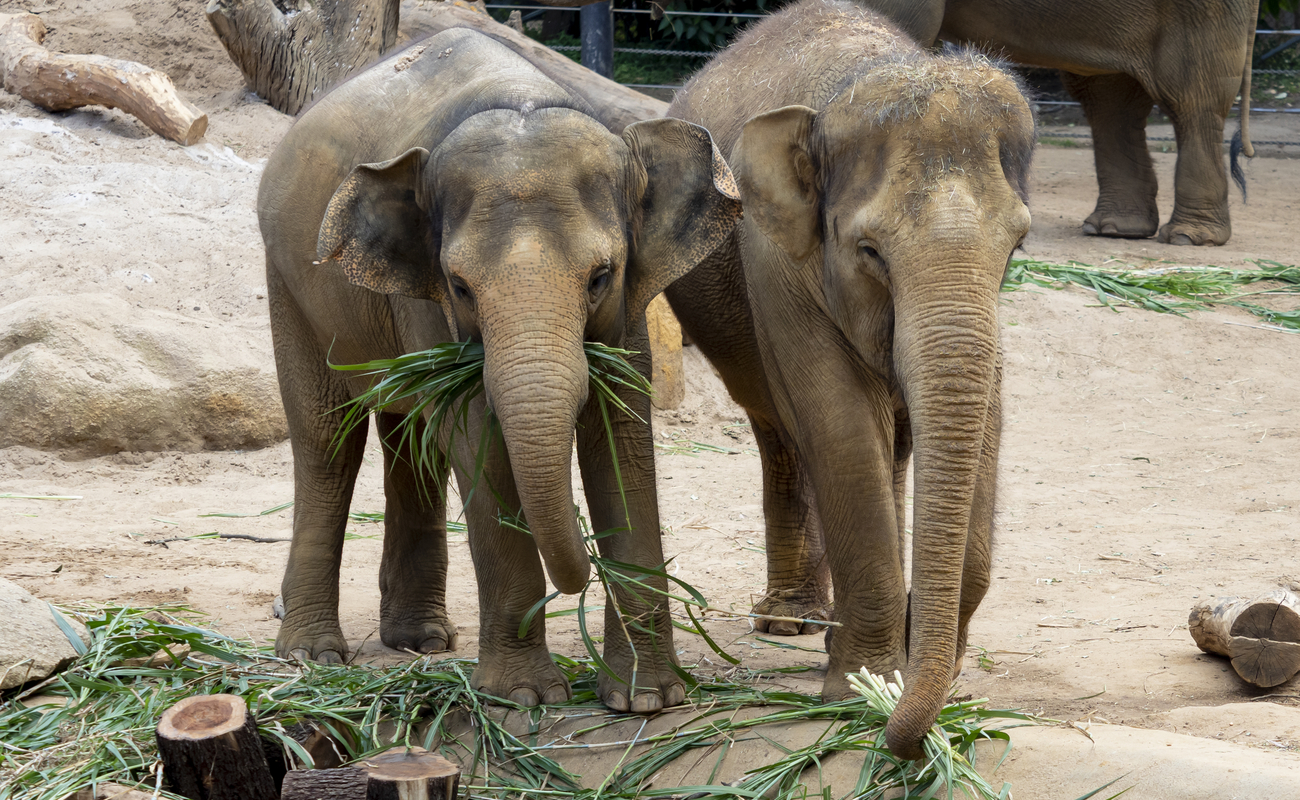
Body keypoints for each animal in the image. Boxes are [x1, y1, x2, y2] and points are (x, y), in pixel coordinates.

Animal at [257, 27, 741, 712]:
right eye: (461, 286)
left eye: (601, 277)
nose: (580, 575)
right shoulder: (426, 294)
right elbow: (476, 434)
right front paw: (525, 698)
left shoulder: (631, 303)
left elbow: (619, 433)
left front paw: (649, 699)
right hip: (290, 284)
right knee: (326, 441)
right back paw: (312, 655)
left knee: (412, 438)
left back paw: (419, 640)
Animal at [664, 0, 1034, 759]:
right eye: (869, 251)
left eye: (1017, 246)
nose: (906, 739)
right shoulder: (774, 256)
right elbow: (838, 426)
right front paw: (864, 689)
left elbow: (985, 412)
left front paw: (918, 674)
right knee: (783, 432)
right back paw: (790, 624)